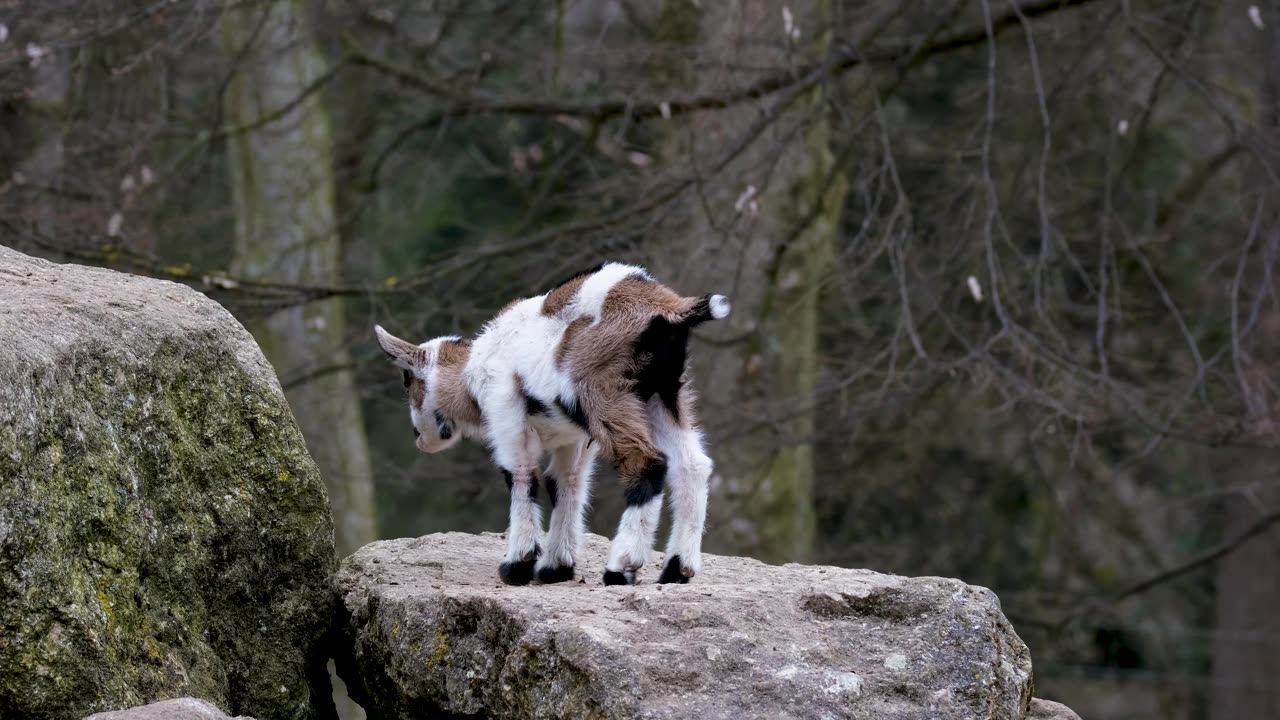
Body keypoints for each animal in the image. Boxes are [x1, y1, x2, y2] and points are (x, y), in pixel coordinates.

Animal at [374, 262, 730, 586]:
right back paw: (676, 570)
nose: (418, 437)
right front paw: (555, 568)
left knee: (646, 461)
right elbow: (566, 484)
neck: (472, 371)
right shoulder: (574, 439)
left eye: (407, 380)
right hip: (662, 396)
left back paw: (621, 567)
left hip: (603, 392)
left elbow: (521, 476)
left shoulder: (507, 417)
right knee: (693, 465)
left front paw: (517, 565)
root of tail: (668, 308)